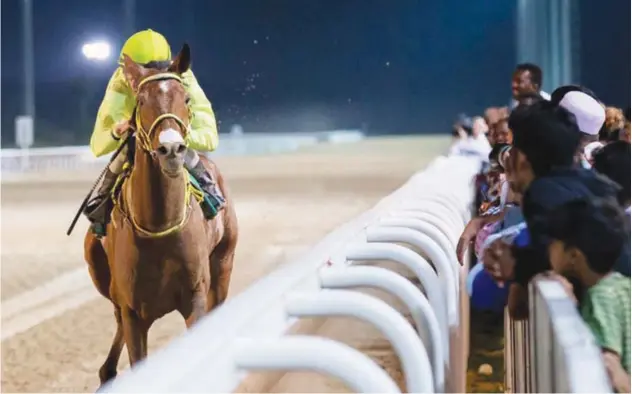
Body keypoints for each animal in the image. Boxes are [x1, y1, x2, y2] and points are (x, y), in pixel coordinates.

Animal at [85, 42, 238, 384]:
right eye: (141, 100)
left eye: (186, 98)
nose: (171, 149)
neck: (158, 225)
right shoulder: (133, 310)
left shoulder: (196, 298)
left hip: (223, 264)